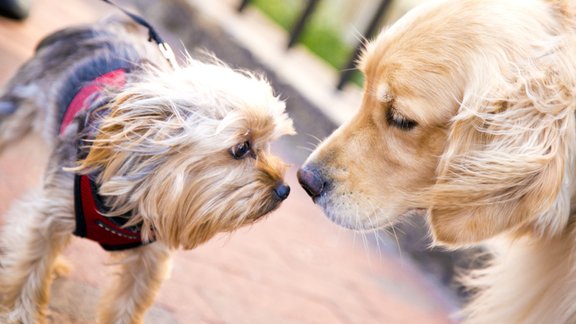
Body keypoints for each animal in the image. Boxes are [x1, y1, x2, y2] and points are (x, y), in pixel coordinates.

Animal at [0, 14, 294, 322]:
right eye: (241, 148)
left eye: (267, 145)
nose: (284, 189)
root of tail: (98, 26)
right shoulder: (50, 213)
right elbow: (31, 266)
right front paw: (21, 315)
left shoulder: (154, 249)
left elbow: (129, 303)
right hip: (15, 107)